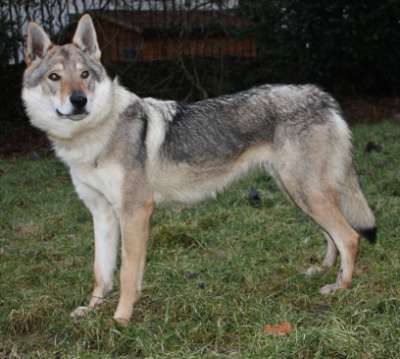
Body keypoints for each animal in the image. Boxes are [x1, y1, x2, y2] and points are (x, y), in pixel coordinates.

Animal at [21, 14, 376, 326]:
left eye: (84, 75)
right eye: (54, 77)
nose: (79, 100)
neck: (93, 136)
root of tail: (321, 95)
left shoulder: (135, 211)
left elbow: (126, 272)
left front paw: (120, 319)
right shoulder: (102, 214)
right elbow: (102, 271)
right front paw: (93, 309)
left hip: (305, 192)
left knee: (350, 236)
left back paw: (339, 287)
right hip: (298, 194)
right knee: (331, 235)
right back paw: (323, 270)